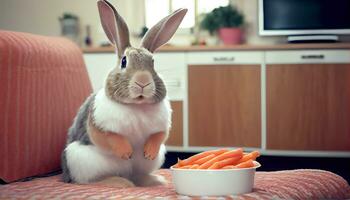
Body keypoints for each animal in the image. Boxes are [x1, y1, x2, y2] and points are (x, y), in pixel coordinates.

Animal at [60, 0, 186, 188]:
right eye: (124, 61)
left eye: (153, 63)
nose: (143, 82)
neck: (137, 106)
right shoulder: (98, 126)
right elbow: (109, 137)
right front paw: (126, 152)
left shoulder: (161, 128)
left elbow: (158, 136)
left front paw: (149, 152)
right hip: (80, 160)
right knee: (90, 181)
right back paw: (119, 182)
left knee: (137, 174)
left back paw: (153, 180)